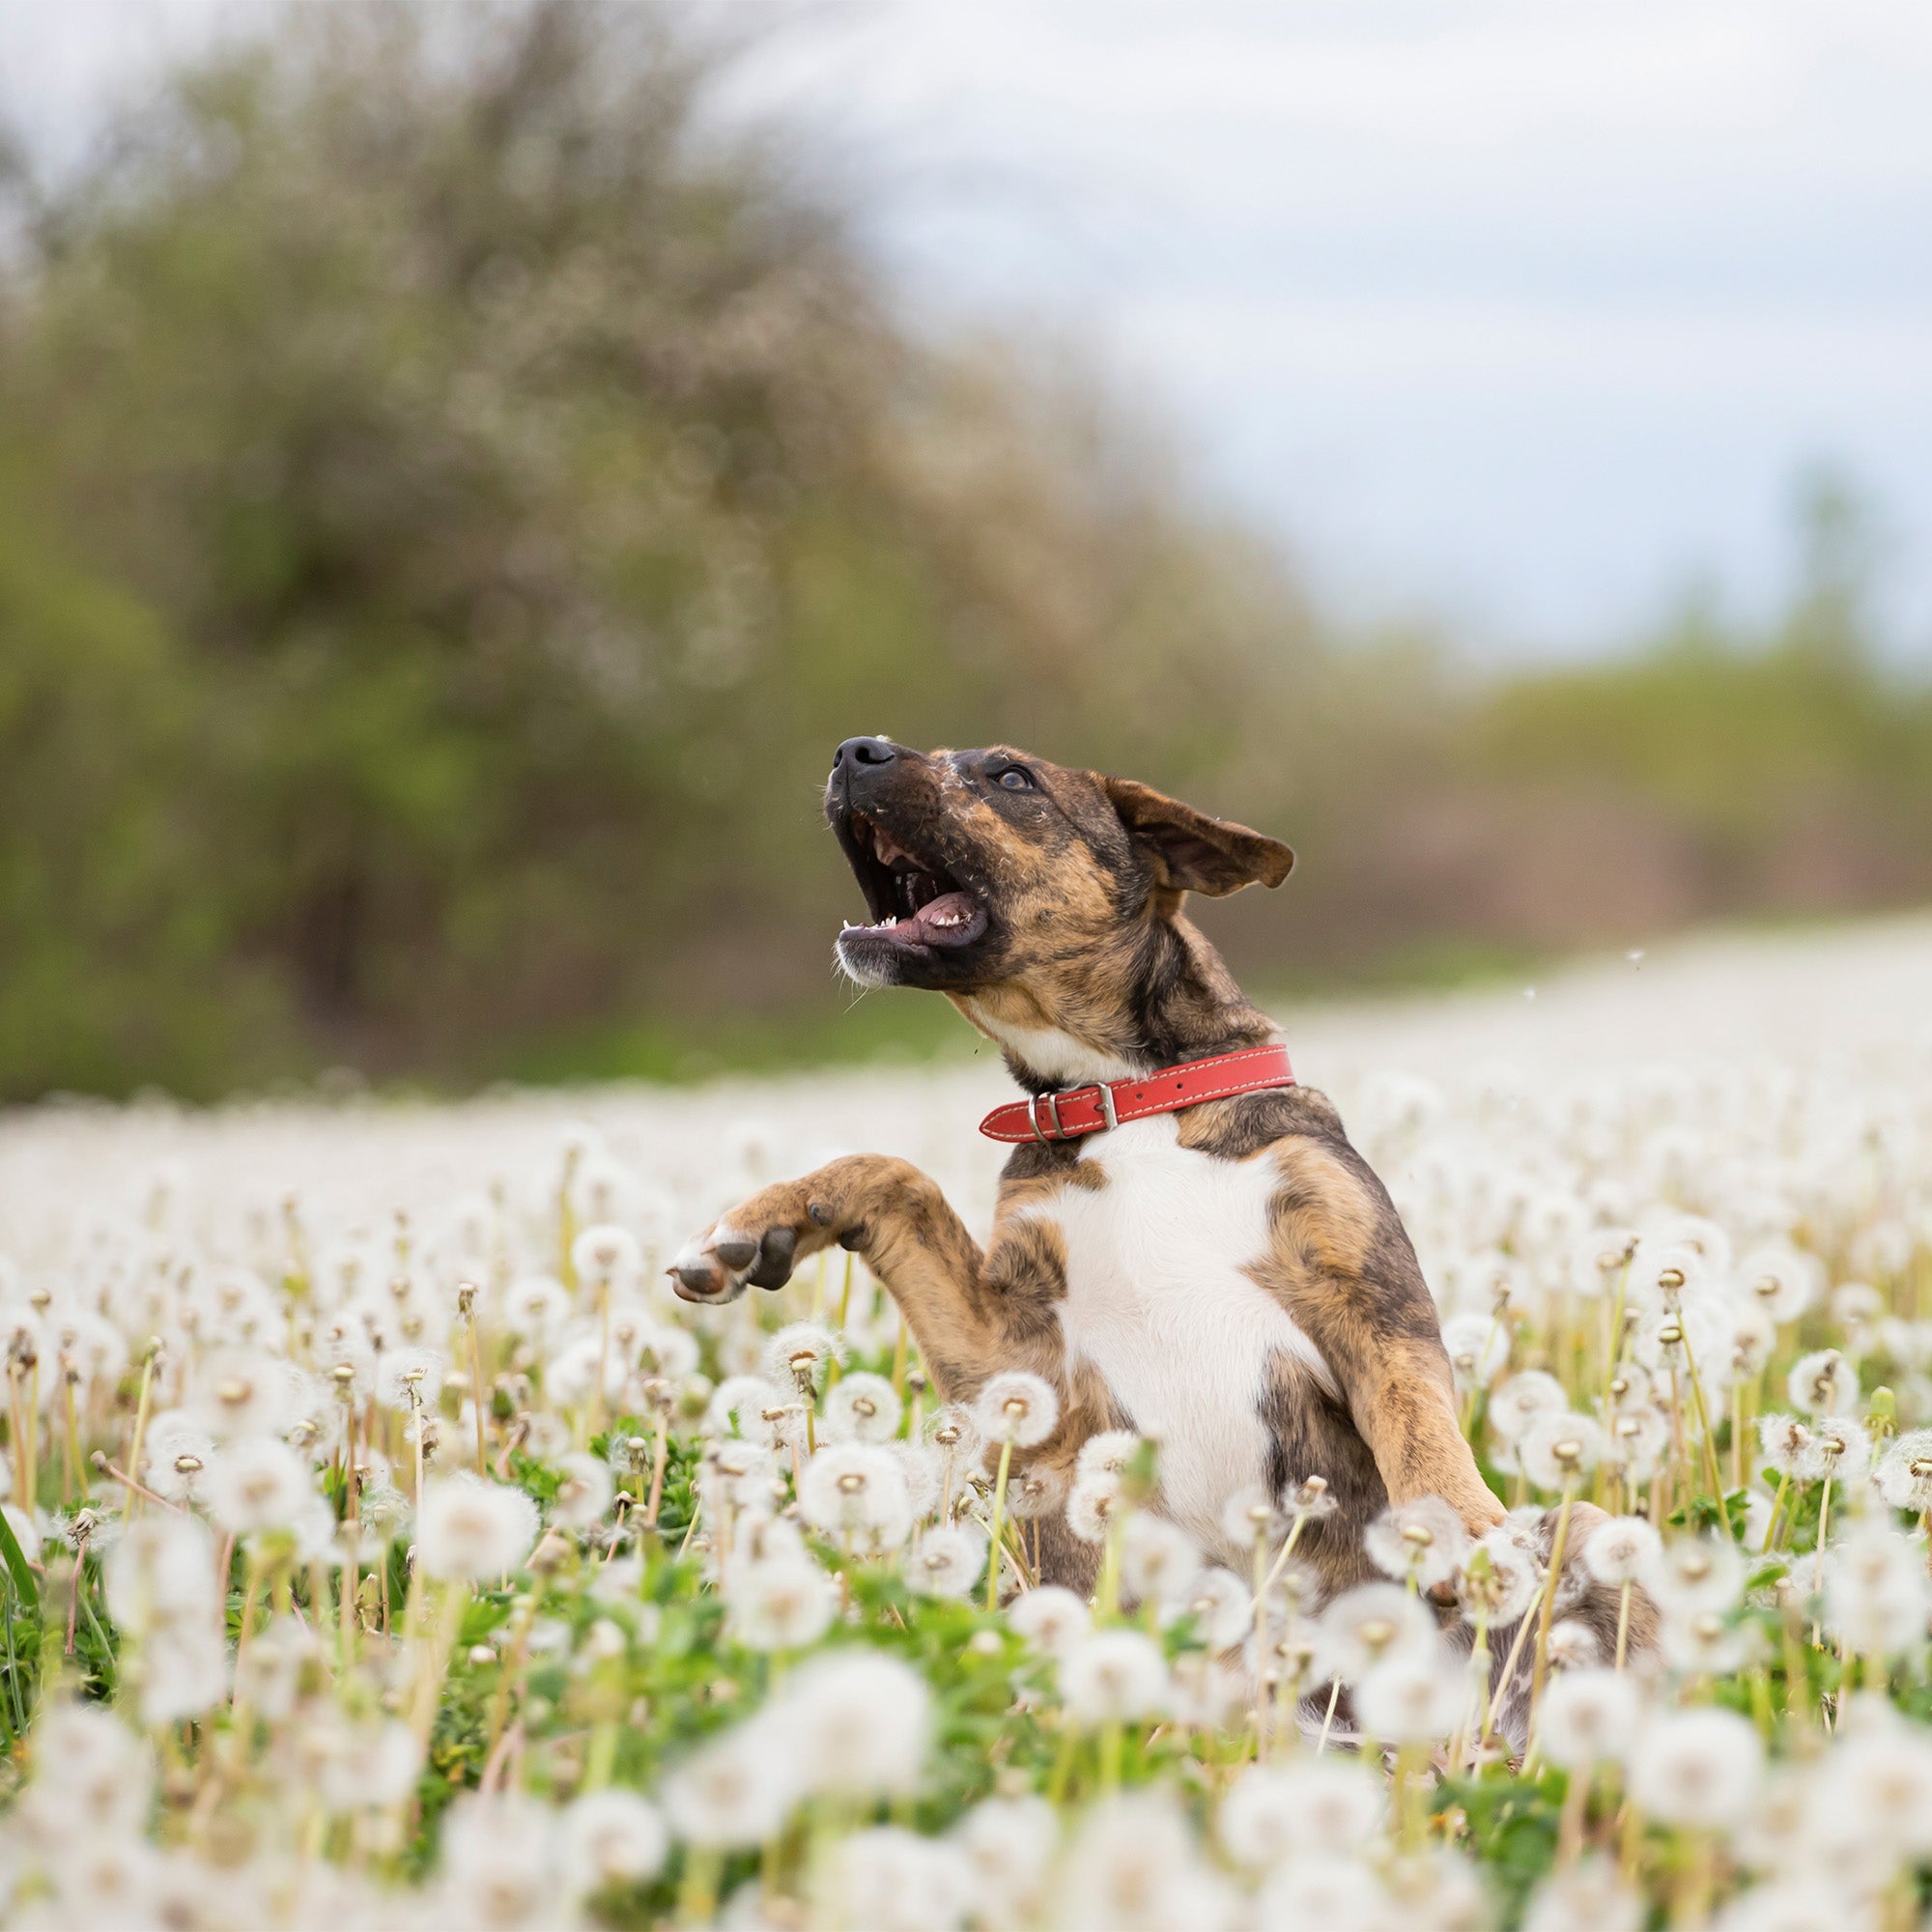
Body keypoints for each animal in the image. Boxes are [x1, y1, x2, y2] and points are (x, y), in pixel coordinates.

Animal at [668, 730, 1646, 1700]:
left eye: (1011, 776)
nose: (853, 749)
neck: (1123, 1096)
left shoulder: (1373, 1302)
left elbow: (1417, 1418)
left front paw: (1465, 1536)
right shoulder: (1013, 1359)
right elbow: (893, 1174)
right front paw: (754, 1225)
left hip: (1586, 1528)